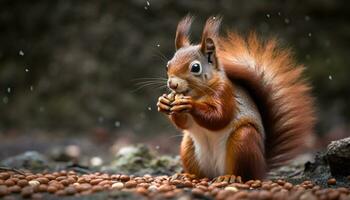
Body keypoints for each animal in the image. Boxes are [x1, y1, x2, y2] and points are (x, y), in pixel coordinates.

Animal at [157, 16, 316, 181]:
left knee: (245, 174)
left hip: (243, 141)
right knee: (201, 173)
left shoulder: (225, 93)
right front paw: (163, 102)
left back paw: (230, 177)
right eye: (167, 65)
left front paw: (190, 104)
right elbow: (184, 123)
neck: (197, 94)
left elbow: (219, 117)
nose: (172, 84)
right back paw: (188, 176)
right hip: (188, 147)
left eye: (195, 68)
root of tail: (261, 167)